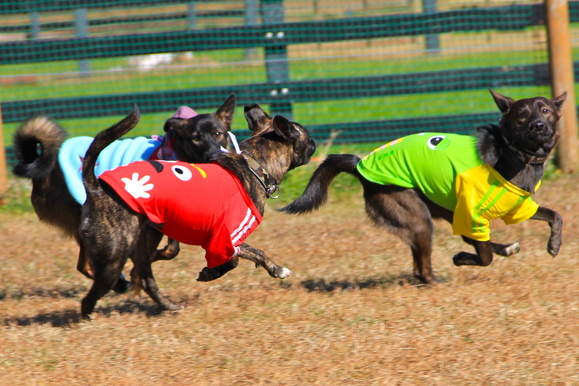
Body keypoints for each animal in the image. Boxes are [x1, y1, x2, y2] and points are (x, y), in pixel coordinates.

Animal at [10, 94, 236, 290]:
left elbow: (172, 248)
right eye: (195, 138)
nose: (213, 154)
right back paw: (118, 283)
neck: (177, 155)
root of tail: (42, 172)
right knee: (85, 264)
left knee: (84, 264)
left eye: (218, 134)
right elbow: (161, 251)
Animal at [78, 104, 318, 318]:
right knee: (91, 296)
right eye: (308, 137)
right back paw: (89, 318)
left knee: (146, 277)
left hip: (139, 242)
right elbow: (244, 256)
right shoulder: (226, 237)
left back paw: (168, 305)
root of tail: (96, 189)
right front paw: (217, 272)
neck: (254, 165)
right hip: (113, 257)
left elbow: (245, 256)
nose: (315, 142)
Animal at [280, 89, 568, 284]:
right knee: (422, 268)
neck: (513, 154)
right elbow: (485, 256)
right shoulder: (471, 216)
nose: (538, 126)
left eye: (545, 111)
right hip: (418, 218)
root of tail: (360, 164)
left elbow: (555, 215)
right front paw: (462, 259)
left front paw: (554, 244)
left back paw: (506, 248)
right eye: (522, 116)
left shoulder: (514, 208)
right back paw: (437, 281)